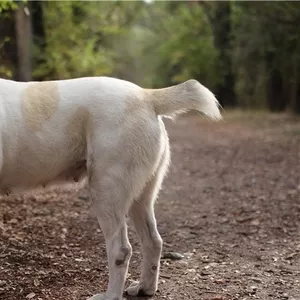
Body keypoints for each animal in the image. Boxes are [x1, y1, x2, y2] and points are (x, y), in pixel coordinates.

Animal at [0, 77, 220, 300]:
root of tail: (146, 95)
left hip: (106, 192)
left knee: (121, 250)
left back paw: (110, 295)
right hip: (141, 198)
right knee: (153, 241)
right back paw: (145, 288)